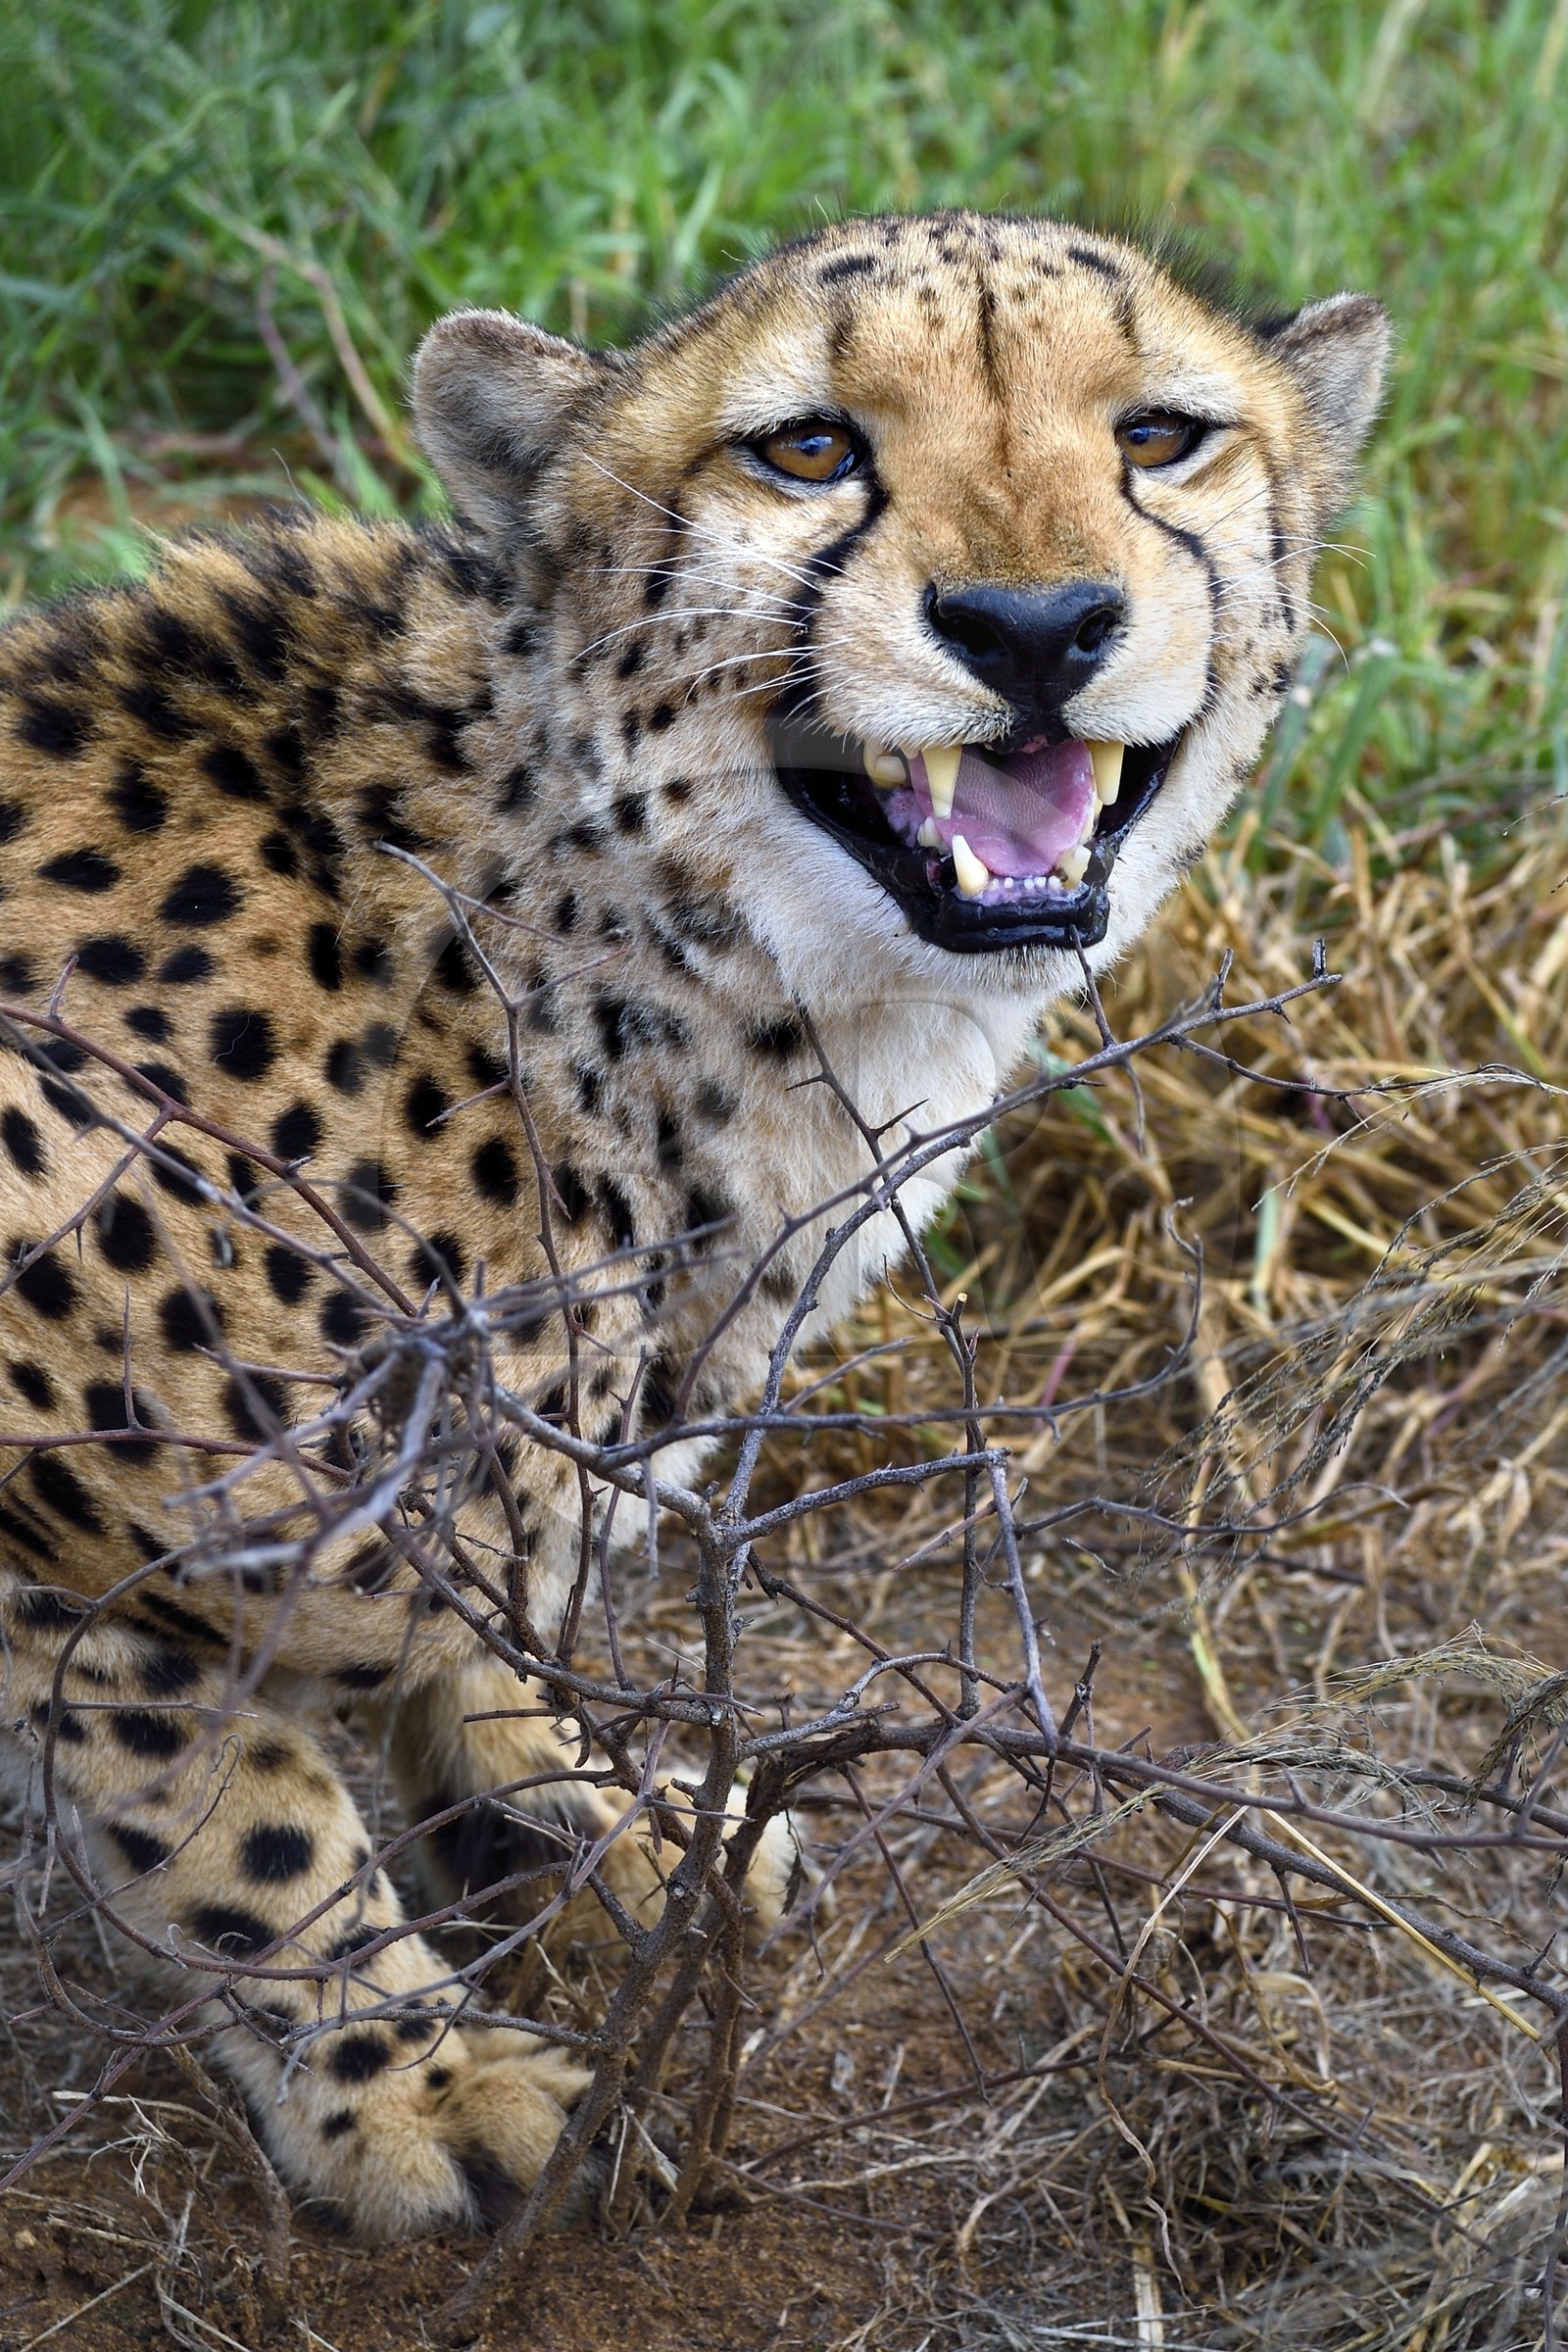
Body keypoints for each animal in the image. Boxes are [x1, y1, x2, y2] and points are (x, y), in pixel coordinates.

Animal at [0, 210, 1387, 2244]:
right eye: (806, 449)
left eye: (1159, 435)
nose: (1034, 627)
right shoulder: (74, 1519)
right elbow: (232, 1813)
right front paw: (410, 2072)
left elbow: (493, 1612)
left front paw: (600, 1812)